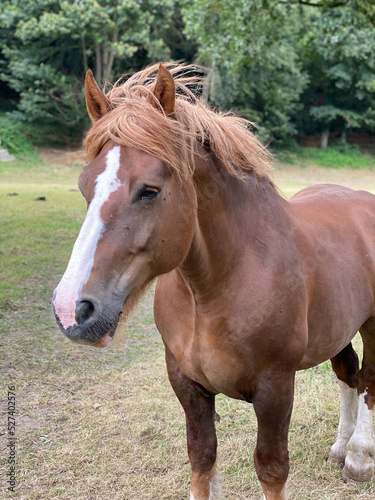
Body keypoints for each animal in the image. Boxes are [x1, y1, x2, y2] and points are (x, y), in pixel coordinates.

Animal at [52, 63, 375, 500]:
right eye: (85, 187)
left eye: (149, 190)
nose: (72, 308)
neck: (215, 288)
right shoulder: (187, 383)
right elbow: (201, 456)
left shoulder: (275, 389)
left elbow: (271, 468)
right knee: (348, 373)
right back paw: (341, 447)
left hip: (371, 325)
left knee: (369, 380)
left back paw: (358, 459)